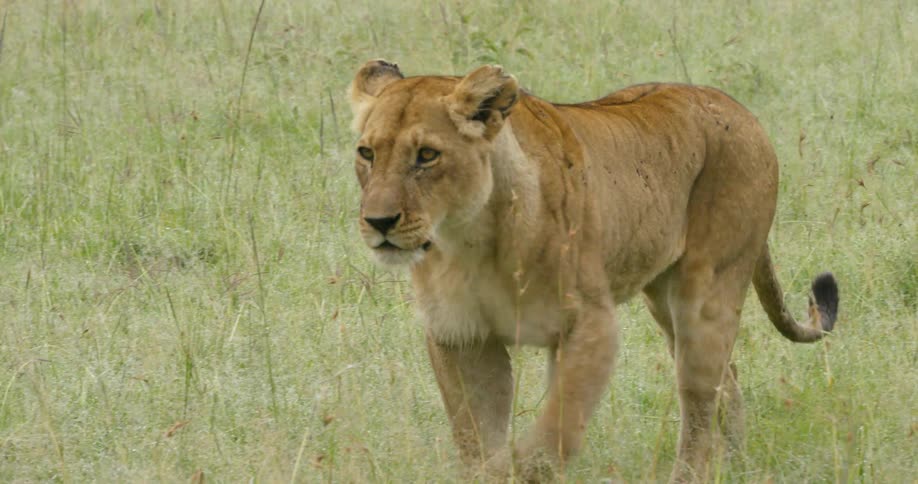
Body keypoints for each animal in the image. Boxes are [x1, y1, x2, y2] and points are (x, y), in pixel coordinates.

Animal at [347, 60, 839, 482]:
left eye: (427, 155)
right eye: (367, 153)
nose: (379, 222)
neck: (469, 241)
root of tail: (736, 106)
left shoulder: (591, 325)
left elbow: (550, 438)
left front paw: (512, 468)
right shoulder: (461, 335)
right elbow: (478, 434)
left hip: (707, 293)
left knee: (699, 401)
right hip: (662, 299)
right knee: (727, 384)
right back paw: (736, 467)